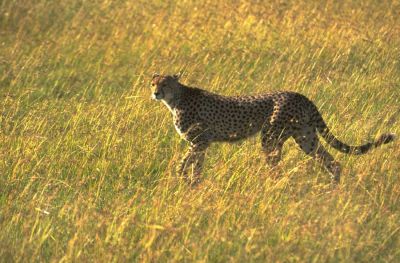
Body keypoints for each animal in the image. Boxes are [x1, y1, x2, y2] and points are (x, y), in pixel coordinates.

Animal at [150, 73, 396, 187]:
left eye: (165, 84)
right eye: (154, 83)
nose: (155, 93)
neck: (175, 98)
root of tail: (299, 94)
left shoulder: (201, 140)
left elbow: (186, 162)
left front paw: (185, 179)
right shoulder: (202, 144)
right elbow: (195, 165)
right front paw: (193, 184)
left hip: (271, 137)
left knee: (276, 167)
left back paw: (270, 186)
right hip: (305, 136)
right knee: (332, 161)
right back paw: (332, 189)